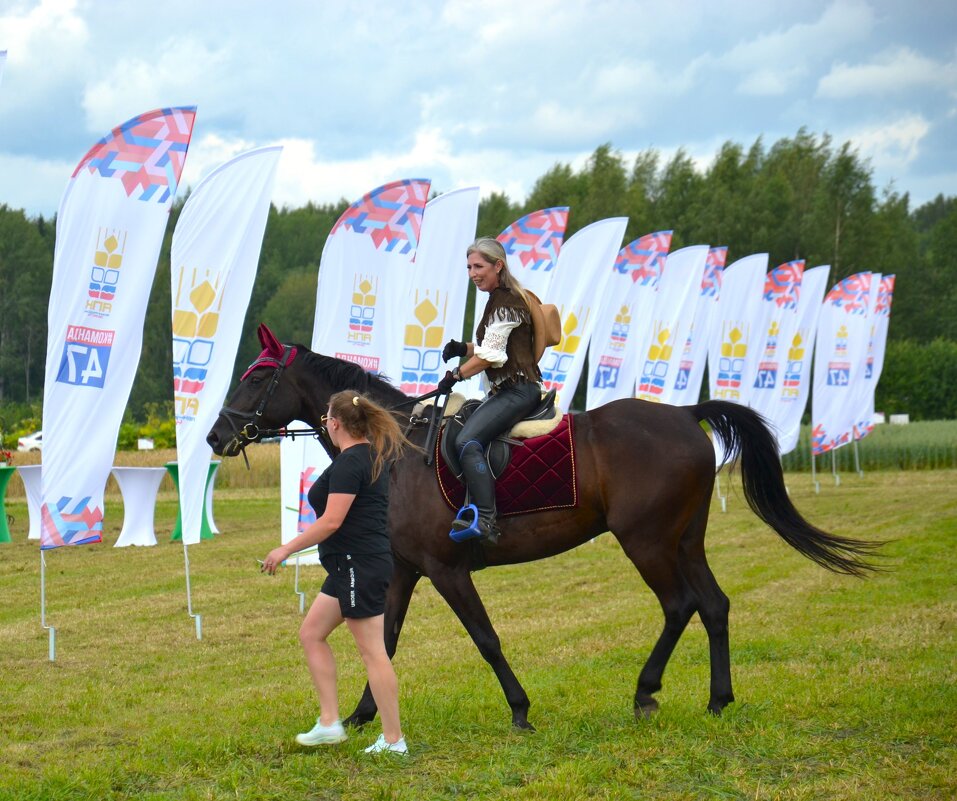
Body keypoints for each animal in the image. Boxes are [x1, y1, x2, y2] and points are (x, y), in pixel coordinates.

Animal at [207, 324, 872, 732]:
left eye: (256, 375)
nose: (216, 437)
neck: (394, 453)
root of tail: (685, 414)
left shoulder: (446, 570)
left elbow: (485, 639)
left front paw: (521, 710)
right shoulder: (402, 571)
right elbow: (384, 639)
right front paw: (364, 715)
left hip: (647, 541)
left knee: (680, 604)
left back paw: (645, 691)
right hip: (685, 539)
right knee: (713, 604)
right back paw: (717, 699)